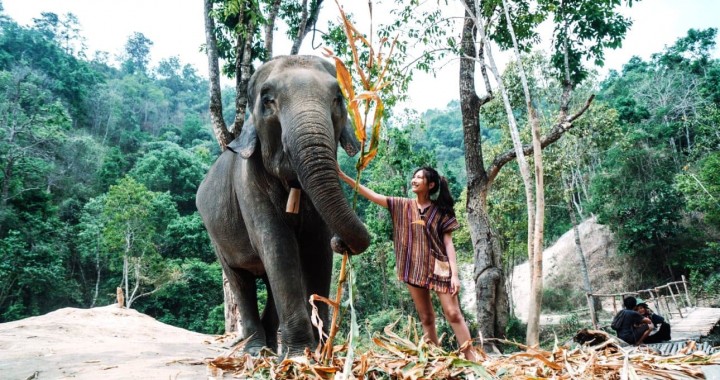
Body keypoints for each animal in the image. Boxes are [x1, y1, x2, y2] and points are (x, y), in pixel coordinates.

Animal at [194, 54, 368, 356]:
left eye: (338, 98)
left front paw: (319, 352)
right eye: (267, 101)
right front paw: (299, 355)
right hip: (216, 237)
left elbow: (316, 248)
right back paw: (255, 350)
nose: (342, 242)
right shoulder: (248, 184)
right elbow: (277, 244)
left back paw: (272, 349)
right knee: (240, 280)